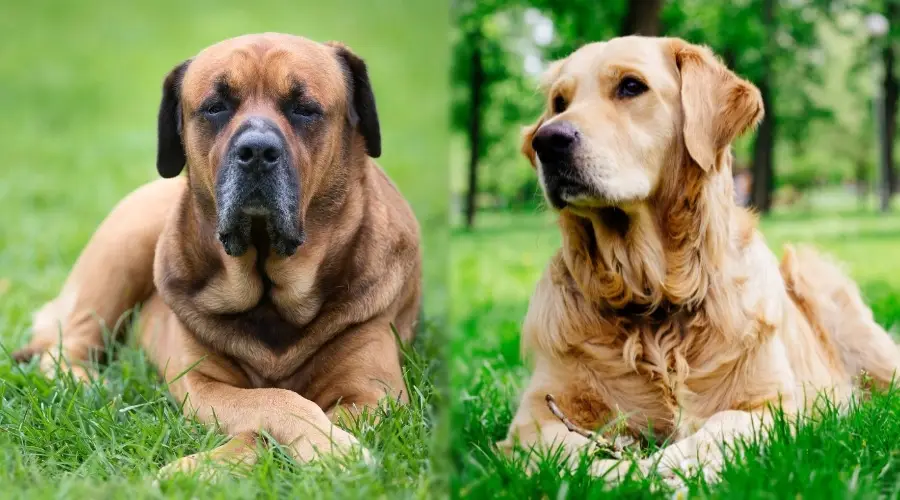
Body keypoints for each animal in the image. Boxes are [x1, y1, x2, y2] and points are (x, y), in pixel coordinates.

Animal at [13, 32, 422, 476]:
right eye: (215, 106)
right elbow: (273, 402)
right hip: (121, 251)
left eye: (304, 108)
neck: (270, 296)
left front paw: (329, 449)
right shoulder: (201, 382)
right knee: (65, 345)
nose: (257, 151)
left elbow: (284, 412)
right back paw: (92, 387)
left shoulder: (372, 391)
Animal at [500, 38, 900, 484]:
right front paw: (623, 470)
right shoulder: (534, 417)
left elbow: (716, 429)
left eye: (630, 86)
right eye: (559, 102)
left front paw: (662, 472)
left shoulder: (771, 406)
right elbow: (571, 457)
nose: (547, 141)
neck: (654, 299)